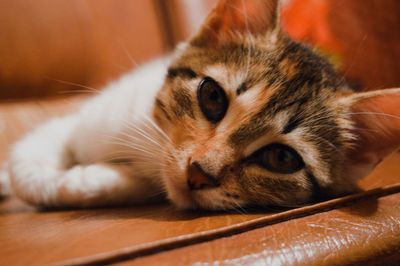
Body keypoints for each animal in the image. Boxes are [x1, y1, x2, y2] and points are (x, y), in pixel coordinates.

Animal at [0, 0, 400, 211]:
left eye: (282, 158)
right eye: (212, 97)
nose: (198, 174)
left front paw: (90, 179)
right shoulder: (91, 117)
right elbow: (29, 160)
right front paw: (41, 180)